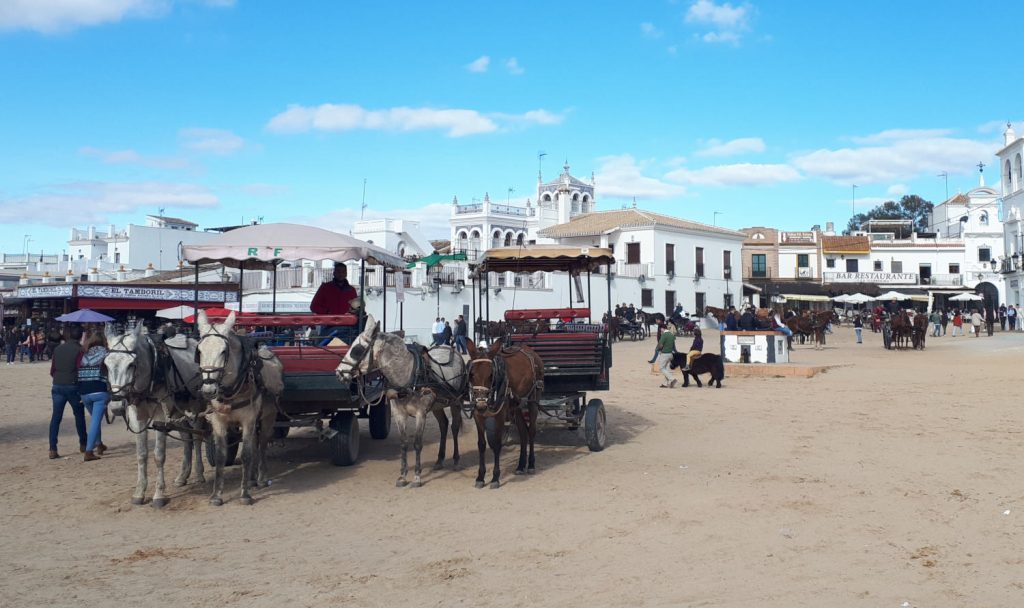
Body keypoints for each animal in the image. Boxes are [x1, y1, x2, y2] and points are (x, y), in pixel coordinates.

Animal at [105, 323, 205, 503]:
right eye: (106, 365)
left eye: (131, 364)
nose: (116, 405)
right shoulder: (137, 417)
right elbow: (141, 454)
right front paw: (139, 492)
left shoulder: (161, 418)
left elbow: (159, 455)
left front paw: (159, 494)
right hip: (179, 412)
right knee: (187, 440)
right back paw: (182, 476)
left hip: (195, 409)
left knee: (197, 438)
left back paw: (199, 474)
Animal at [194, 309, 284, 503]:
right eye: (199, 350)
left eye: (223, 351)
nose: (209, 389)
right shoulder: (218, 421)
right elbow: (221, 456)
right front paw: (216, 494)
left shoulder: (248, 421)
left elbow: (246, 455)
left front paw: (244, 494)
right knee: (256, 444)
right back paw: (251, 479)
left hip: (269, 417)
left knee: (262, 444)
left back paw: (261, 478)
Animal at [333, 315, 466, 485]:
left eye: (357, 350)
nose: (338, 373)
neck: (407, 376)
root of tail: (451, 349)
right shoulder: (399, 414)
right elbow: (403, 444)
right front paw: (403, 476)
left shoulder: (421, 414)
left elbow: (417, 443)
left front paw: (417, 476)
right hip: (438, 405)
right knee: (443, 425)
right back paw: (439, 460)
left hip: (455, 402)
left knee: (454, 427)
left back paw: (456, 460)